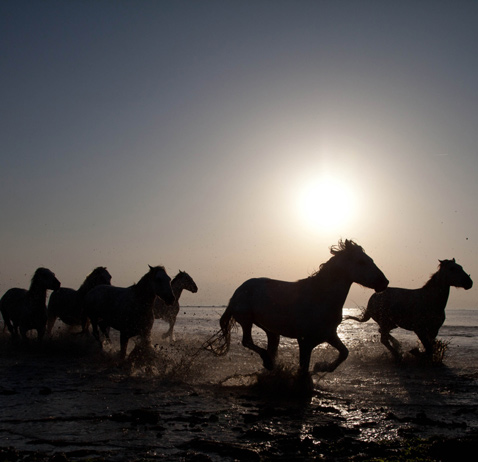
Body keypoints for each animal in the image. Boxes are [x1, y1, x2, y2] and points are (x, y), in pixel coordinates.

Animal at [208, 240, 388, 378]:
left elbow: (344, 352)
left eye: (370, 259)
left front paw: (321, 366)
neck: (320, 297)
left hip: (271, 330)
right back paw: (267, 361)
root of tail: (237, 291)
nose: (384, 282)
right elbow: (304, 367)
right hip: (246, 320)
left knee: (269, 346)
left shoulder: (329, 334)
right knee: (247, 341)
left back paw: (270, 365)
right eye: (361, 262)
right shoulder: (305, 341)